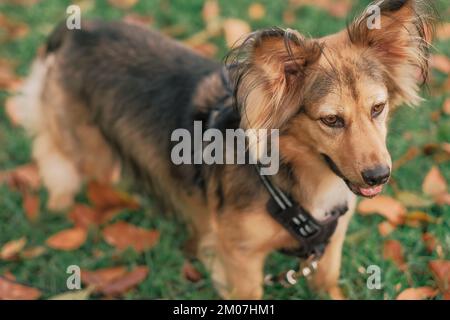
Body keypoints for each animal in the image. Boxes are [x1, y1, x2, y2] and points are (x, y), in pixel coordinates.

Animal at [13, 0, 436, 300]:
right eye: (331, 120)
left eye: (378, 108)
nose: (379, 176)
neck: (296, 179)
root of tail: (78, 31)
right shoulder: (241, 258)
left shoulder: (330, 247)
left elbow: (328, 283)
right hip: (80, 147)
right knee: (60, 166)